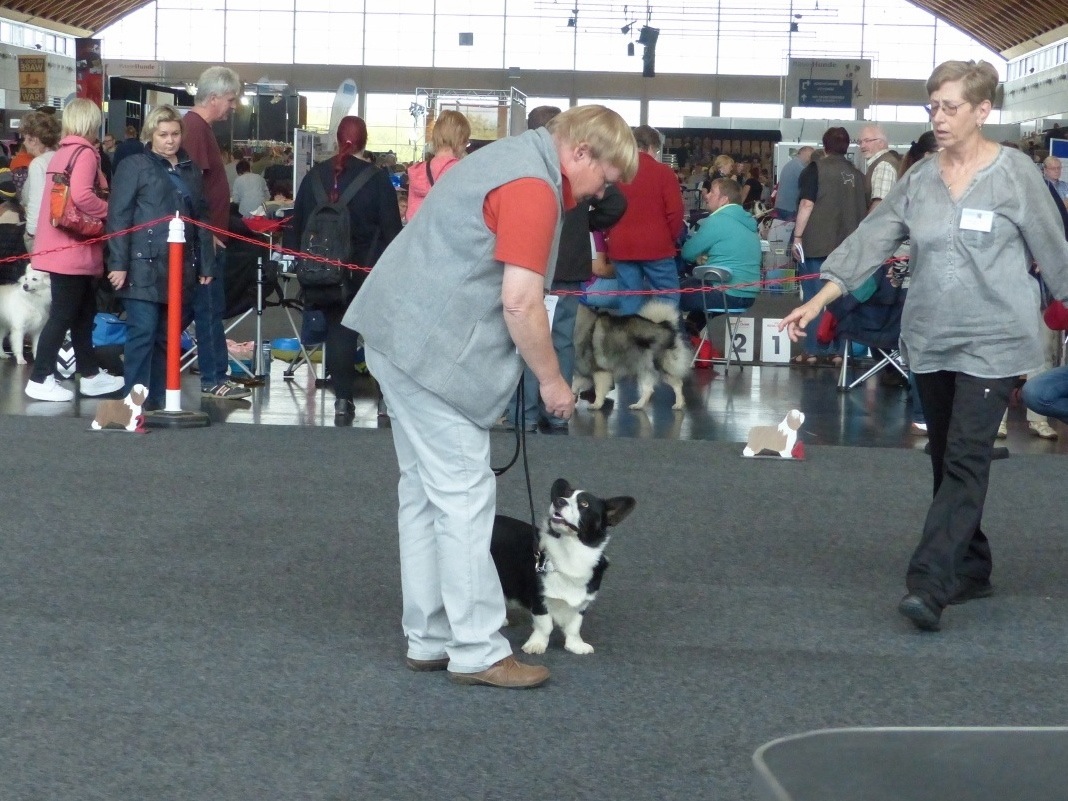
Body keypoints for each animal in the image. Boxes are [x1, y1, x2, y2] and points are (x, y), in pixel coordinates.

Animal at [491, 479, 636, 655]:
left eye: (584, 504)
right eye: (564, 495)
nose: (558, 501)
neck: (570, 551)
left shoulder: (582, 603)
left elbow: (574, 627)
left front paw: (576, 645)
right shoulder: (539, 599)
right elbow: (545, 625)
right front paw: (536, 645)